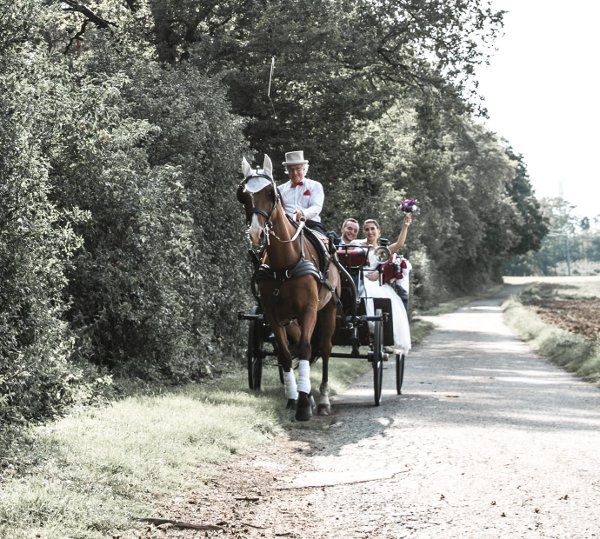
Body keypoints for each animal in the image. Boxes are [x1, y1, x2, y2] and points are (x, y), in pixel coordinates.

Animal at [237, 155, 340, 422]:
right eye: (243, 195)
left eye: (271, 193)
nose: (256, 233)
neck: (285, 262)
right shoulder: (272, 314)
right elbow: (285, 353)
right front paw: (295, 398)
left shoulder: (309, 310)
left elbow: (305, 348)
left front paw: (303, 406)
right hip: (290, 318)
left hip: (328, 310)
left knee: (324, 349)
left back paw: (322, 400)